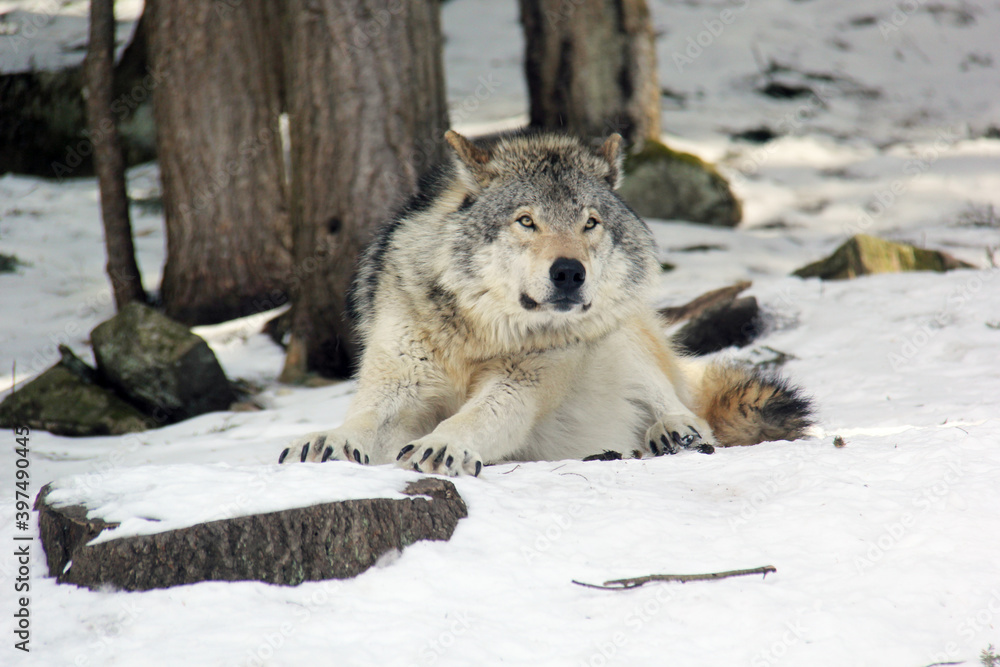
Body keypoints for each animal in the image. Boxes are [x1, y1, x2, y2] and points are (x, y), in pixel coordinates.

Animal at [278, 130, 812, 475]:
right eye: (526, 220)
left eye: (589, 222)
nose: (569, 272)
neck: (481, 330)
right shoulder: (400, 378)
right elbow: (364, 418)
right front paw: (328, 440)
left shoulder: (523, 383)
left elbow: (476, 416)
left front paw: (444, 444)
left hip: (618, 338)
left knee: (687, 409)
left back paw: (673, 432)